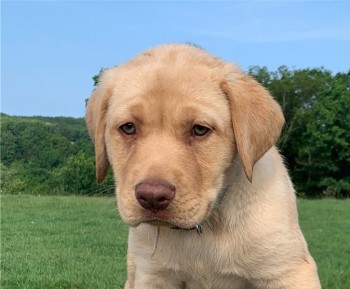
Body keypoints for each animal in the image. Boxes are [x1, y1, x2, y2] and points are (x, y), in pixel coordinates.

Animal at [86, 43, 322, 288]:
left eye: (200, 130)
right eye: (128, 127)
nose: (151, 197)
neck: (206, 228)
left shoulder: (288, 272)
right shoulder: (153, 275)